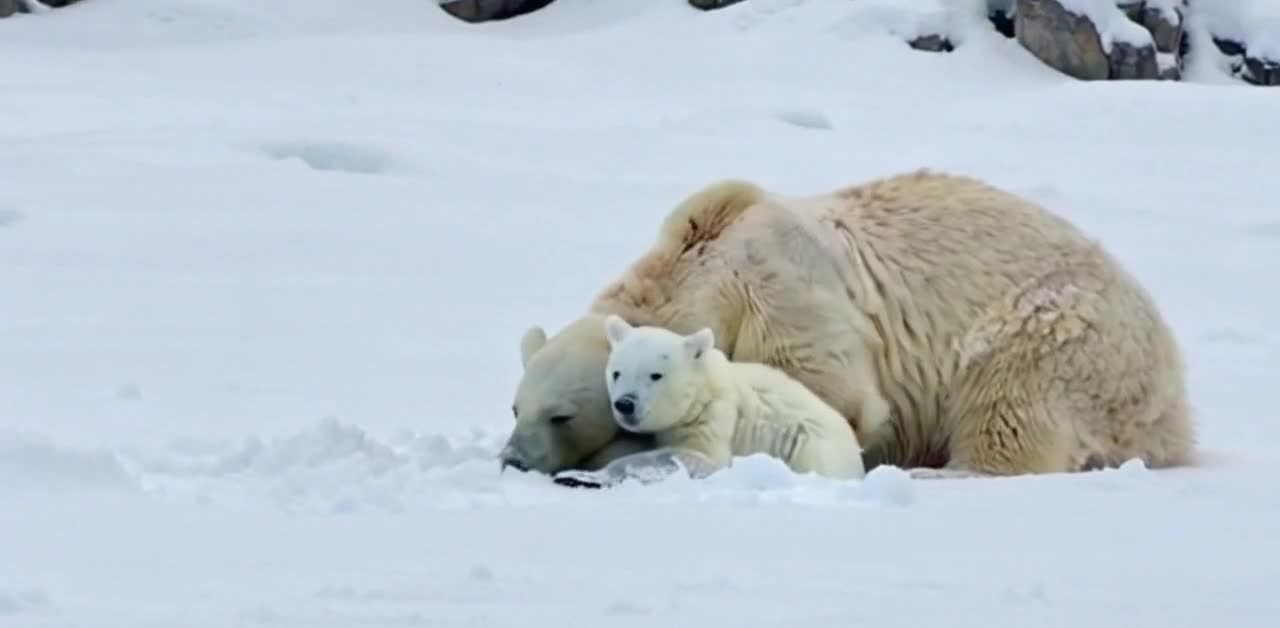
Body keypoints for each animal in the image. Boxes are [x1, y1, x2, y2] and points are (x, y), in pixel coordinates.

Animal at [554, 315, 866, 486]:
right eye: (616, 373)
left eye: (655, 375)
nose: (625, 404)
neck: (702, 389)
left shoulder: (715, 417)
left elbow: (698, 457)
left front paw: (583, 476)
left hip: (812, 446)